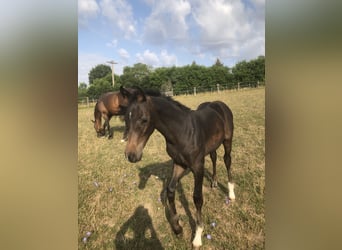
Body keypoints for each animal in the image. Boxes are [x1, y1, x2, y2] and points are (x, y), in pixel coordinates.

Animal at [120, 87, 235, 249]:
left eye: (144, 120)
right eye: (126, 119)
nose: (131, 155)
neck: (182, 132)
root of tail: (219, 103)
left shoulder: (198, 166)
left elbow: (197, 198)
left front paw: (198, 236)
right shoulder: (179, 163)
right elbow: (170, 190)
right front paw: (177, 229)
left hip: (227, 140)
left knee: (227, 160)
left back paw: (231, 193)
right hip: (213, 144)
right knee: (214, 157)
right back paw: (214, 182)